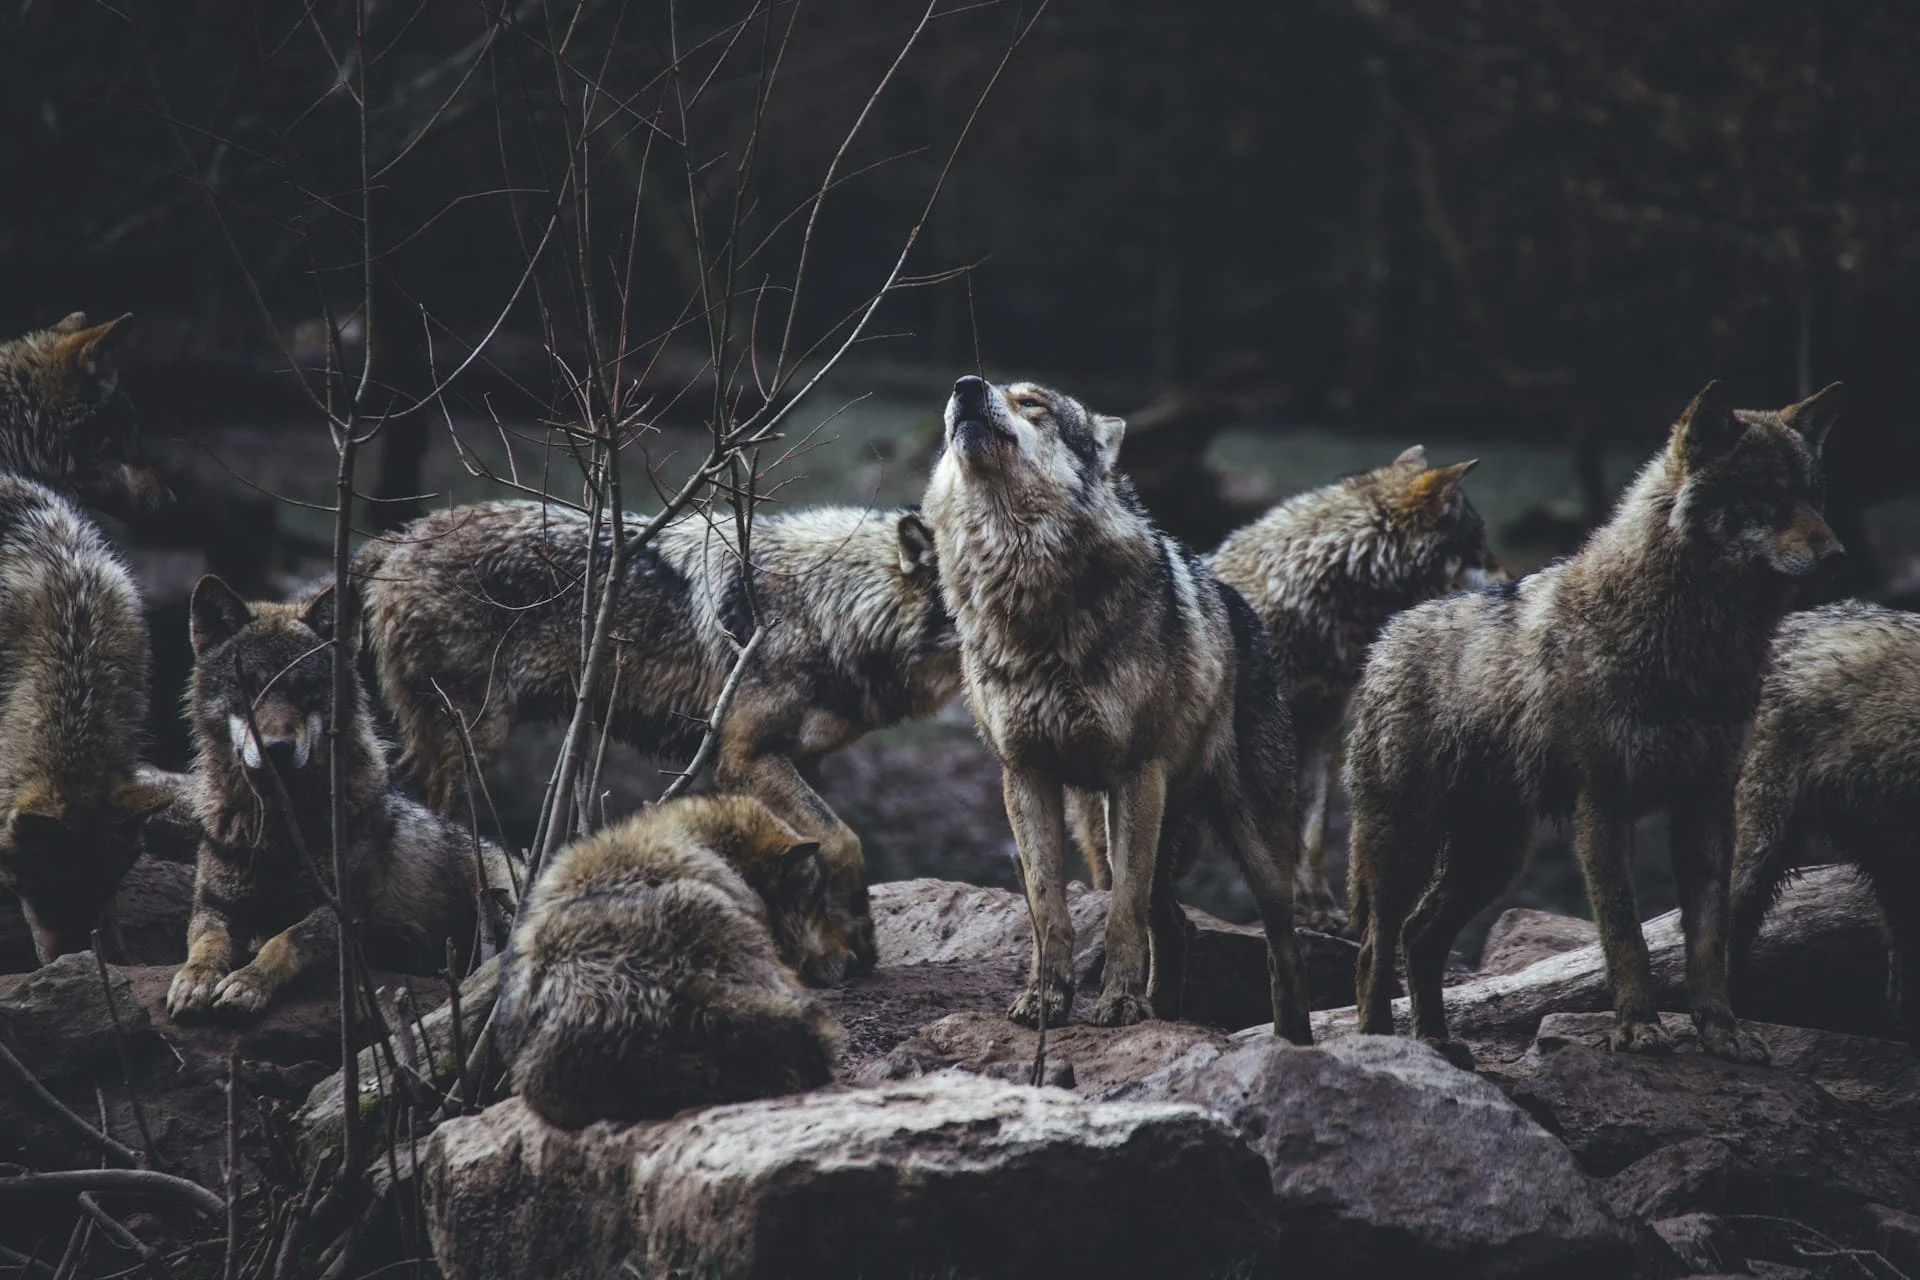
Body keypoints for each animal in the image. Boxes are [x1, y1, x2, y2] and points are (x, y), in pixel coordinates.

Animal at [166, 575, 519, 1020]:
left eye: (306, 689)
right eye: (248, 686)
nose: (277, 749)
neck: (279, 829)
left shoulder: (343, 913)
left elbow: (283, 941)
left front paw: (248, 982)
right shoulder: (213, 905)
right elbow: (208, 942)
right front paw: (195, 978)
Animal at [354, 500, 960, 973]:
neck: (829, 606)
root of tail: (399, 537)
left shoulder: (800, 761)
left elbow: (816, 852)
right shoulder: (744, 757)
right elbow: (844, 839)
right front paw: (858, 940)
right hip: (474, 741)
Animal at [922, 375, 1311, 1040]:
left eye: (1033, 403)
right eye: (976, 390)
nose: (967, 386)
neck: (1027, 594)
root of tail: (1244, 608)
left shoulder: (1135, 773)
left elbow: (1121, 914)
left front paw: (1122, 1005)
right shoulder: (1025, 776)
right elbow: (1048, 910)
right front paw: (1045, 1002)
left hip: (1250, 841)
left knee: (1280, 947)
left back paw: (1293, 1041)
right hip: (1110, 827)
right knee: (1176, 926)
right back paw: (1169, 1014)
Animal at [1076, 446, 1501, 933]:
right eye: (1479, 543)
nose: (1513, 580)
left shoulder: (1323, 731)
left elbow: (1311, 837)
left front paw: (1319, 909)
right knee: (1110, 874)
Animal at [1346, 381, 1842, 1066]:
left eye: (1814, 496)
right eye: (1765, 497)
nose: (1837, 555)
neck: (1691, 644)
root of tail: (1387, 634)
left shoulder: (1707, 804)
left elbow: (1708, 942)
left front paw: (1723, 1032)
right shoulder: (1602, 804)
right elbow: (1625, 932)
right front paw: (1638, 1030)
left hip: (1494, 857)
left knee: (1420, 935)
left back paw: (1438, 1043)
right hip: (1409, 843)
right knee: (1377, 943)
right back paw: (1380, 1045)